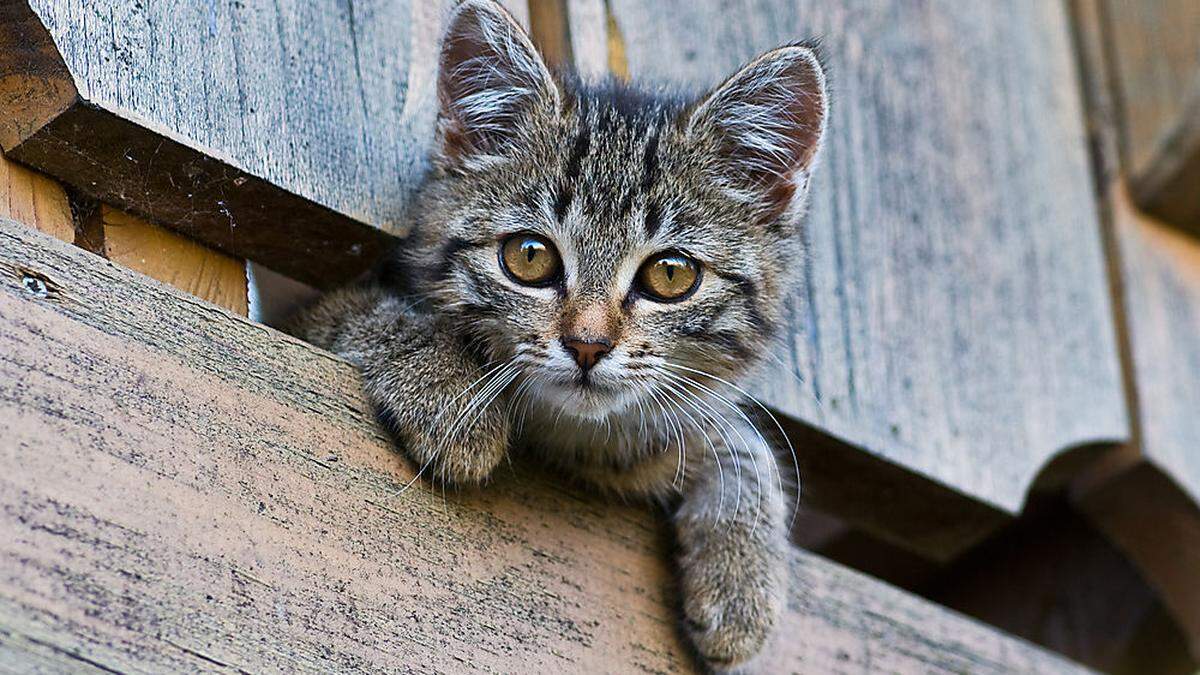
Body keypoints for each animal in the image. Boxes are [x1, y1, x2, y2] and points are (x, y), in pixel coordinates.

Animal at [288, 2, 825, 667]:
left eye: (671, 274)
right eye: (529, 257)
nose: (588, 345)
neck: (566, 432)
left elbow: (739, 437)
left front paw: (742, 580)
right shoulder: (314, 310)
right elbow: (367, 311)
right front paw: (450, 395)